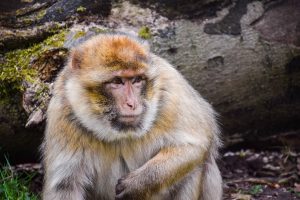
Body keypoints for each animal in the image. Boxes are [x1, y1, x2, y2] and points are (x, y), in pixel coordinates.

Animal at [41, 33, 221, 200]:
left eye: (137, 80)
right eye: (117, 81)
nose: (132, 104)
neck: (120, 135)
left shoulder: (172, 91)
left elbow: (194, 146)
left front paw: (139, 183)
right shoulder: (62, 114)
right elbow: (64, 186)